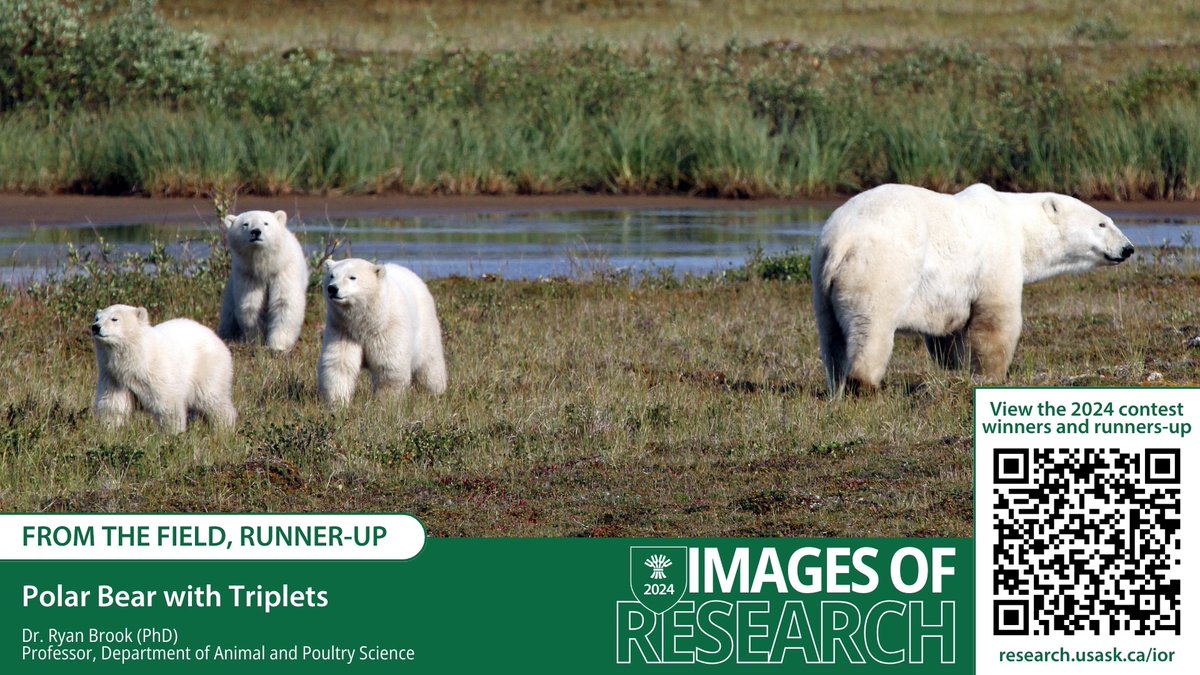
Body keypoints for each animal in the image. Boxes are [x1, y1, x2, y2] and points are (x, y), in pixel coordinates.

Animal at [219, 207, 309, 348]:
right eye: (245, 224)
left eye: (266, 223)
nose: (256, 232)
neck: (265, 266)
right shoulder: (249, 275)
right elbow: (251, 305)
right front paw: (255, 339)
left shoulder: (283, 272)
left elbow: (284, 303)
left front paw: (278, 344)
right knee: (228, 317)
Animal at [816, 181, 1132, 396]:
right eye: (1102, 223)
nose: (1128, 248)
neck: (1016, 222)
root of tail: (841, 240)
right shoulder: (996, 256)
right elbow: (996, 320)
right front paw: (992, 376)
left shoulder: (949, 288)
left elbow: (946, 333)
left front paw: (952, 371)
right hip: (880, 268)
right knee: (872, 329)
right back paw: (864, 387)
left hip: (824, 282)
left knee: (832, 337)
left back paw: (837, 387)